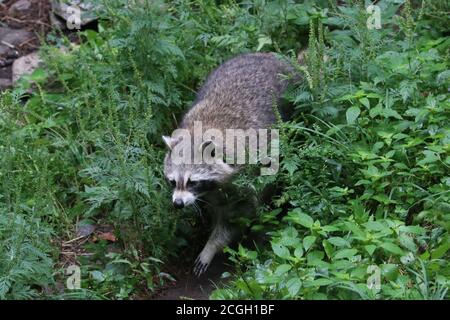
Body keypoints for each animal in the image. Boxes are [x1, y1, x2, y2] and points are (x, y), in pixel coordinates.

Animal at [162, 52, 296, 276]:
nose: (177, 203)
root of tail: (270, 56)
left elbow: (238, 216)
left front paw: (211, 246)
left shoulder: (246, 175)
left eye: (192, 182)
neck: (200, 132)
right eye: (173, 182)